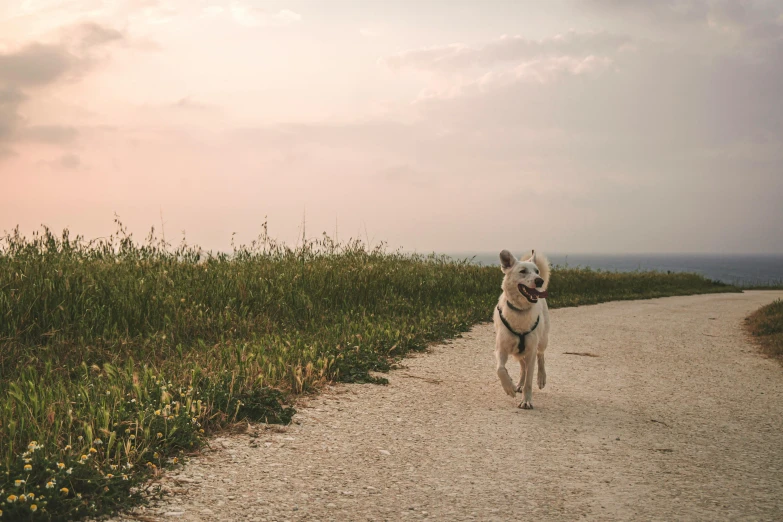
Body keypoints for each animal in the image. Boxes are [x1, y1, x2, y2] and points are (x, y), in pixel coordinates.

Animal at [496, 248, 552, 406]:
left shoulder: (531, 351)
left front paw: (526, 401)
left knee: (540, 356)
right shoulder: (501, 348)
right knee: (522, 367)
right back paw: (518, 385)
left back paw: (541, 378)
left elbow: (529, 380)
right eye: (522, 271)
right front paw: (509, 387)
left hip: (542, 340)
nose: (539, 281)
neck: (520, 311)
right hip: (517, 352)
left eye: (537, 271)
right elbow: (500, 369)